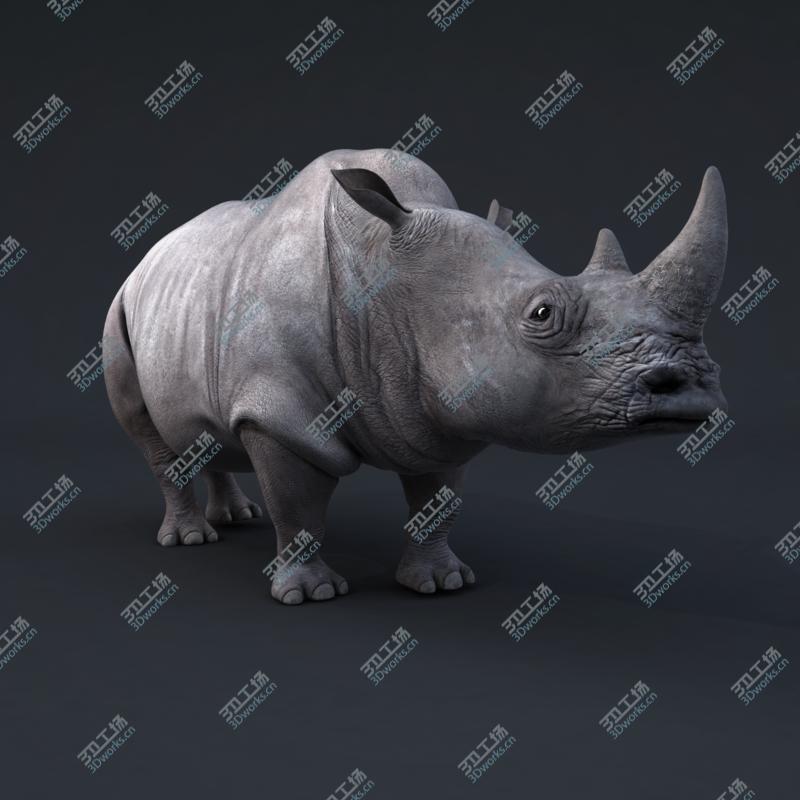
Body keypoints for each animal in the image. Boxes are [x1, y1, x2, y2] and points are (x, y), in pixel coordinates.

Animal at [103, 148, 728, 605]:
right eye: (542, 313)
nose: (689, 386)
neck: (382, 279)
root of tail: (146, 258)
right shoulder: (278, 412)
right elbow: (298, 505)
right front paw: (311, 594)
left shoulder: (441, 410)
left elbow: (437, 500)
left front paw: (442, 583)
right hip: (120, 309)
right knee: (148, 432)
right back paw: (191, 539)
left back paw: (235, 518)